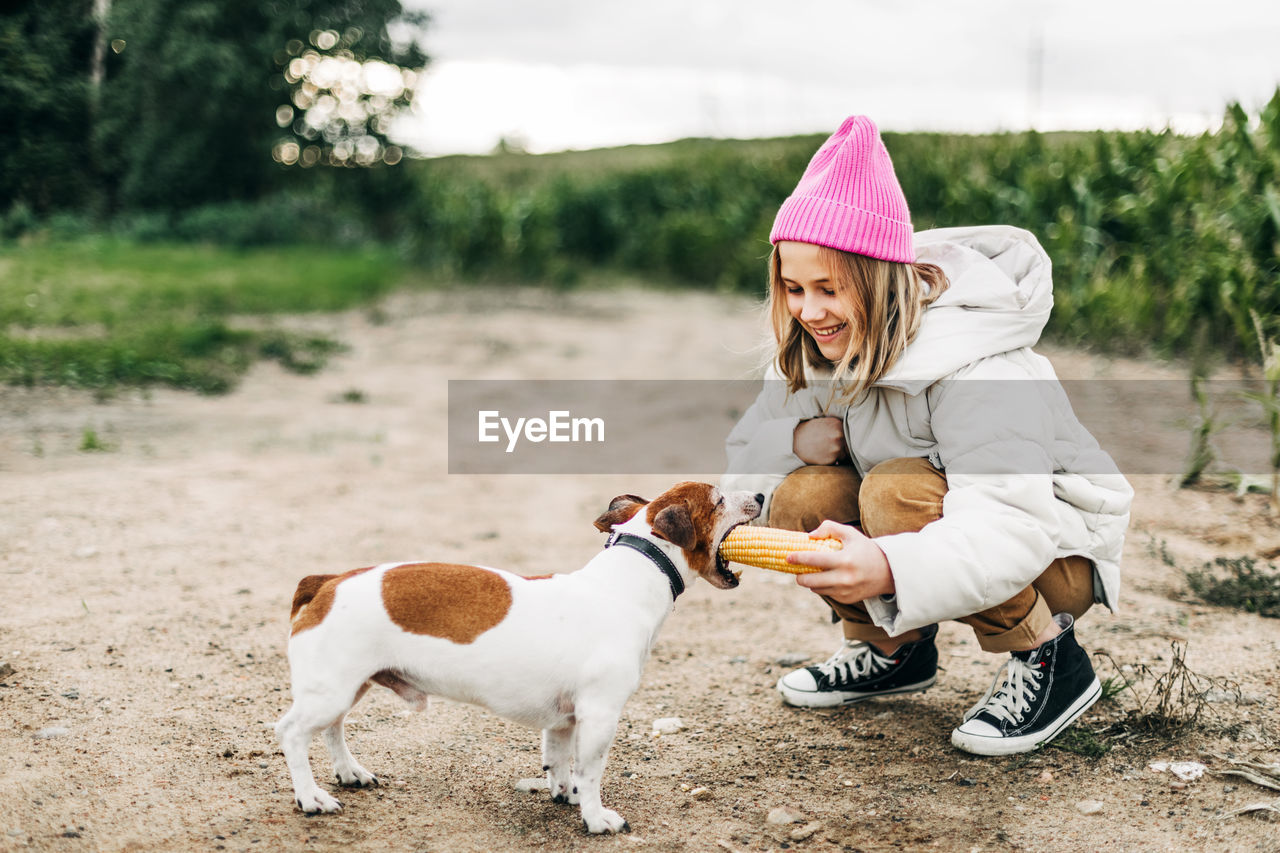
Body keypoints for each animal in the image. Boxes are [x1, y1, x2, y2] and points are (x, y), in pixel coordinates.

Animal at [275, 484, 762, 829]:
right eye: (719, 499)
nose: (759, 495)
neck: (630, 576)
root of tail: (328, 581)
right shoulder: (600, 714)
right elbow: (591, 771)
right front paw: (595, 817)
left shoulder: (564, 720)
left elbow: (561, 762)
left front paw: (565, 795)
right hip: (330, 691)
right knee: (294, 734)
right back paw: (310, 797)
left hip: (346, 687)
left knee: (333, 729)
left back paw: (349, 772)